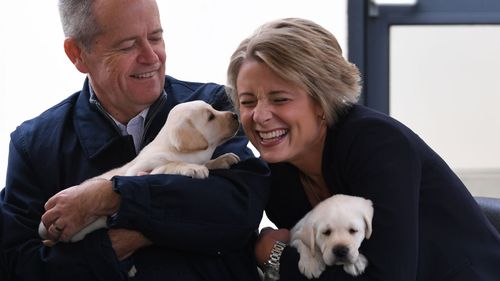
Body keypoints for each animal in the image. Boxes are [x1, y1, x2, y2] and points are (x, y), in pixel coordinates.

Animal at [39, 99, 242, 242]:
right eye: (210, 117)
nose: (235, 115)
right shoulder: (140, 171)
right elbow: (170, 164)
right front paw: (190, 167)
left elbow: (207, 162)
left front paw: (222, 159)